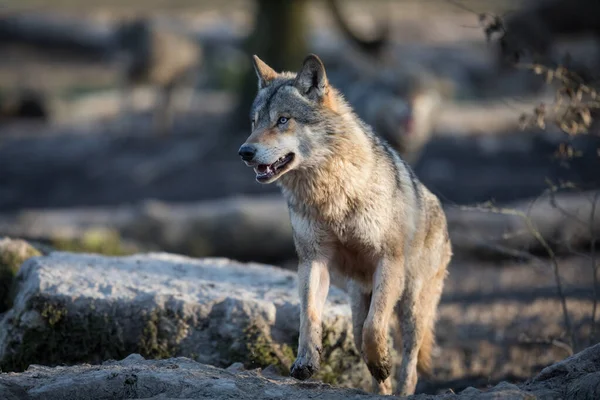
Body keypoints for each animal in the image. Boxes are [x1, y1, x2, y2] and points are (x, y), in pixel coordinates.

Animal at [237, 54, 452, 396]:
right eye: (255, 122)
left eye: (283, 120)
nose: (245, 152)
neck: (331, 195)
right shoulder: (313, 260)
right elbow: (309, 316)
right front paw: (305, 362)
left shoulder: (388, 261)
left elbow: (375, 328)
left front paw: (382, 361)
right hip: (357, 303)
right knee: (362, 338)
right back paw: (380, 389)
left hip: (412, 306)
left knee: (409, 361)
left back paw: (399, 388)